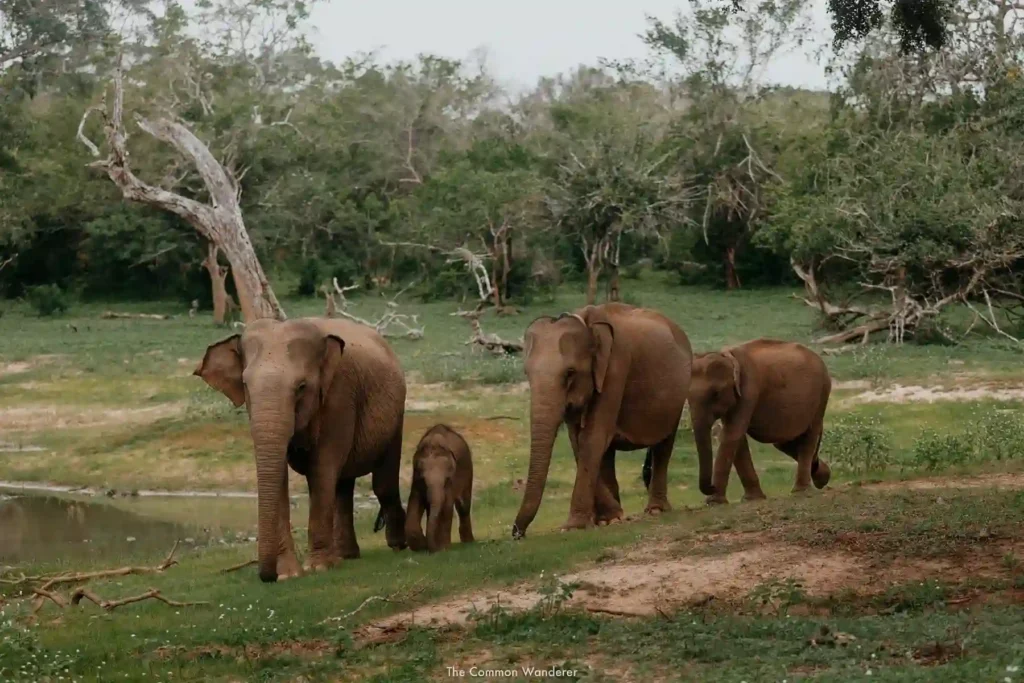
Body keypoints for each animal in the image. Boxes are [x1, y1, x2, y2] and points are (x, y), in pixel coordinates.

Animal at [194, 317, 407, 583]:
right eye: (244, 385)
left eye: (302, 387)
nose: (267, 576)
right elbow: (281, 478)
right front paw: (288, 575)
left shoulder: (339, 395)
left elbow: (322, 468)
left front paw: (318, 568)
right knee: (344, 486)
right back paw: (346, 556)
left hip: (397, 413)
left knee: (382, 484)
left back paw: (397, 546)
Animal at [405, 424, 474, 553]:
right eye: (423, 479)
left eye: (446, 479)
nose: (430, 548)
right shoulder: (416, 478)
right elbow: (414, 500)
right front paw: (421, 547)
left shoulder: (452, 480)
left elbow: (447, 506)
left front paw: (443, 548)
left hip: (468, 470)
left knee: (463, 507)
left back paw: (468, 542)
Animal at [512, 303, 693, 538]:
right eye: (526, 372)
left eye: (570, 373)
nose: (517, 533)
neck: (587, 323)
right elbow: (578, 441)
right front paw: (609, 519)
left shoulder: (615, 368)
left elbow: (592, 438)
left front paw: (573, 527)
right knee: (608, 454)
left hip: (678, 395)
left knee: (664, 445)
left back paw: (655, 511)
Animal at [686, 338, 832, 504]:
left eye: (716, 394)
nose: (711, 487)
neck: (728, 356)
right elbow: (737, 439)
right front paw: (752, 499)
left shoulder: (749, 389)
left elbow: (732, 434)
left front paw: (714, 502)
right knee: (783, 443)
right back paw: (822, 477)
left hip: (822, 394)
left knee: (809, 437)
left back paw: (801, 491)